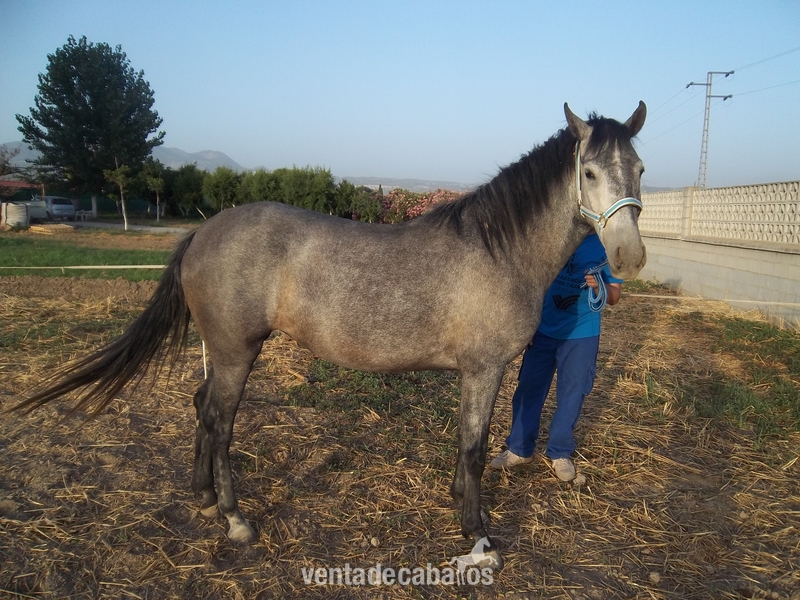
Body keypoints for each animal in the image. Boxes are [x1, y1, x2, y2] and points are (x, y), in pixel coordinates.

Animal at [12, 102, 647, 569]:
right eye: (589, 172)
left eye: (640, 169)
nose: (628, 257)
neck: (499, 249)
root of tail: (201, 231)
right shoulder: (485, 368)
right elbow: (472, 447)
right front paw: (477, 533)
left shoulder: (477, 373)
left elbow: (464, 444)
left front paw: (458, 505)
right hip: (236, 351)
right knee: (219, 422)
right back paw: (235, 519)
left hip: (220, 352)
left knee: (200, 408)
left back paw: (203, 497)